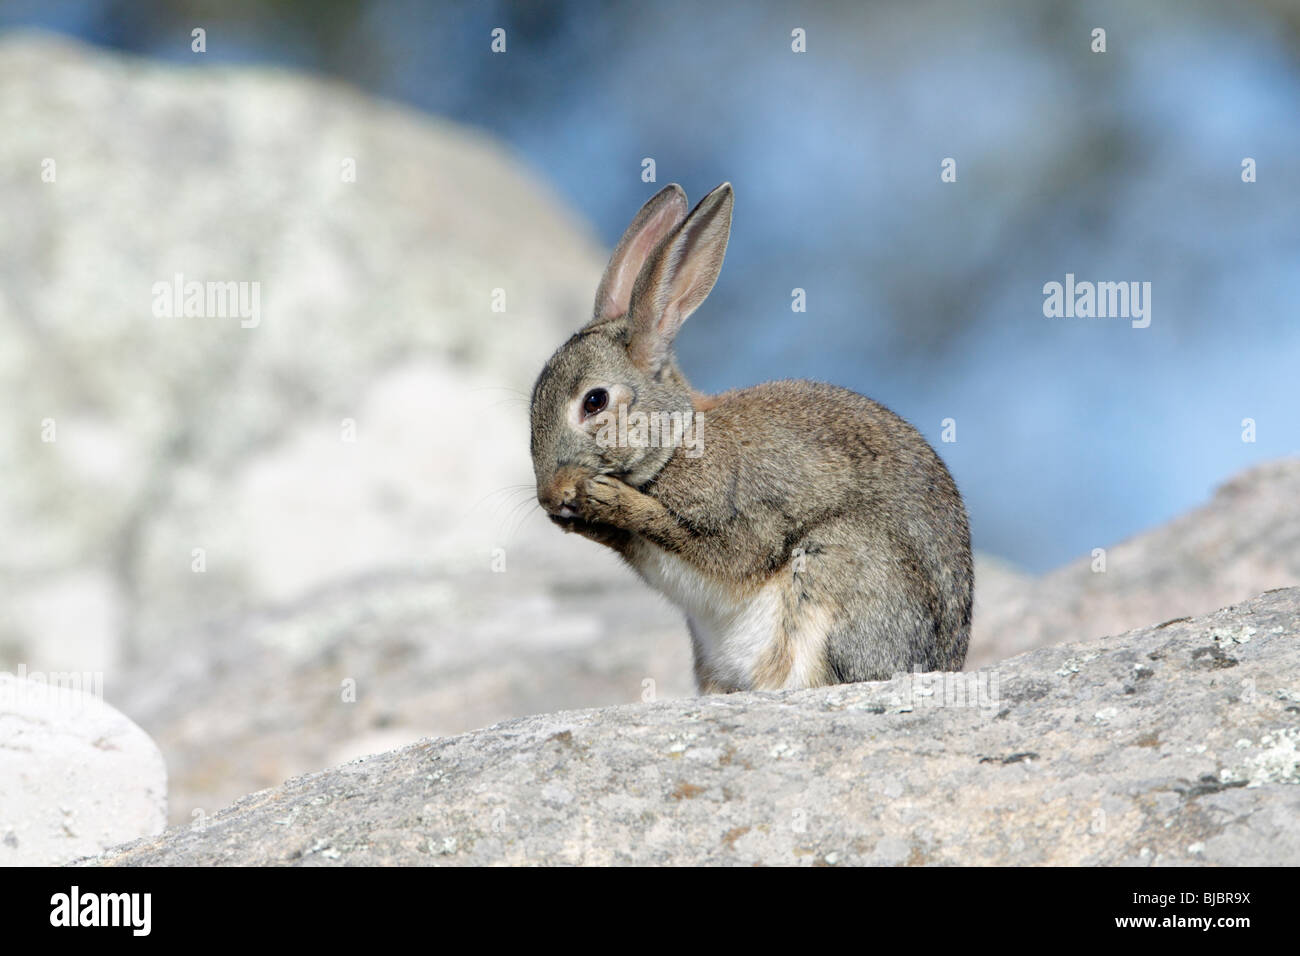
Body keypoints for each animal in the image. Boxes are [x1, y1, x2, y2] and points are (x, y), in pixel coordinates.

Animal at [530, 182, 973, 693]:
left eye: (595, 402)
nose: (550, 496)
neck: (678, 441)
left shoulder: (746, 521)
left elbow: (707, 545)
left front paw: (608, 500)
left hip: (839, 573)